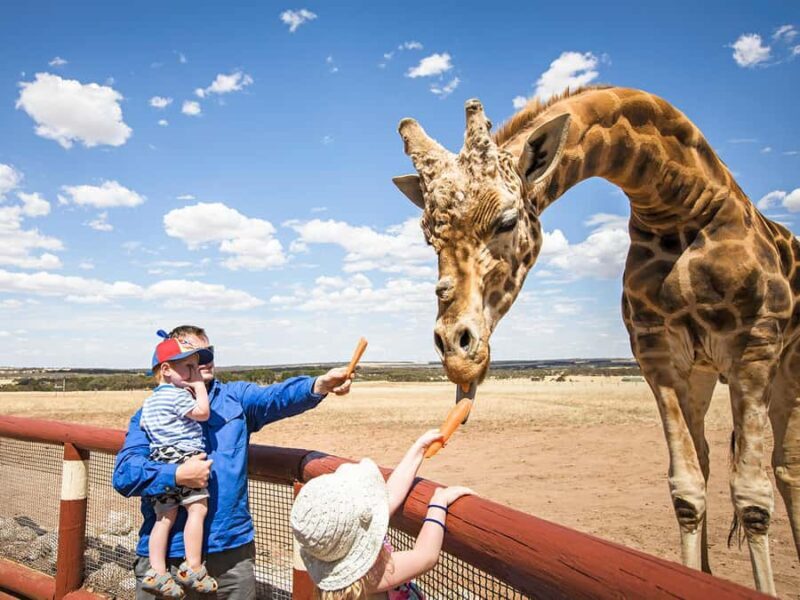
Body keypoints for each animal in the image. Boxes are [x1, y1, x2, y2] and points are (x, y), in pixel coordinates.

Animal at [392, 86, 800, 595]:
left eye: (506, 220)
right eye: (430, 237)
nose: (456, 351)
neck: (679, 206)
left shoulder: (754, 350)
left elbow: (752, 498)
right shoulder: (657, 353)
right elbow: (686, 488)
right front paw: (691, 579)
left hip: (786, 367)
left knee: (785, 468)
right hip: (703, 375)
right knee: (712, 460)